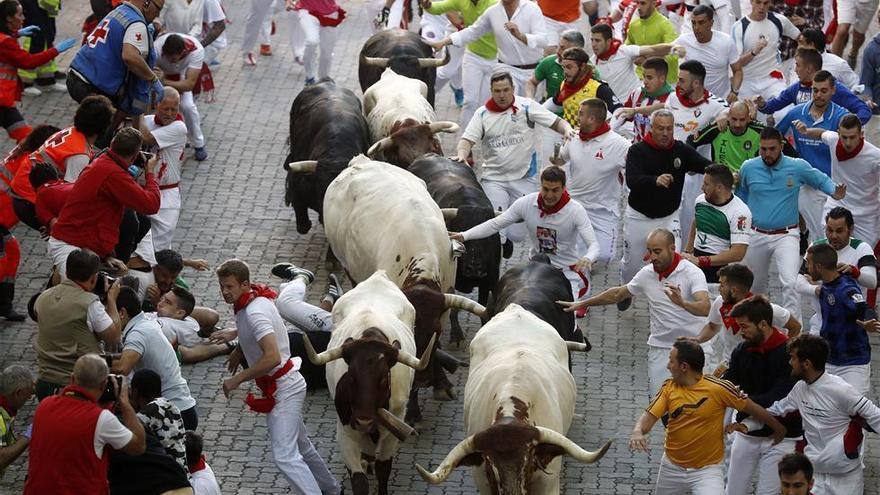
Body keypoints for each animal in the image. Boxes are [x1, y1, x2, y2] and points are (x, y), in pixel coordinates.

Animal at [408, 153, 498, 346]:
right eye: (460, 229)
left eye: (488, 238)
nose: (474, 268)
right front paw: (456, 334)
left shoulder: (490, 281)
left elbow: (485, 309)